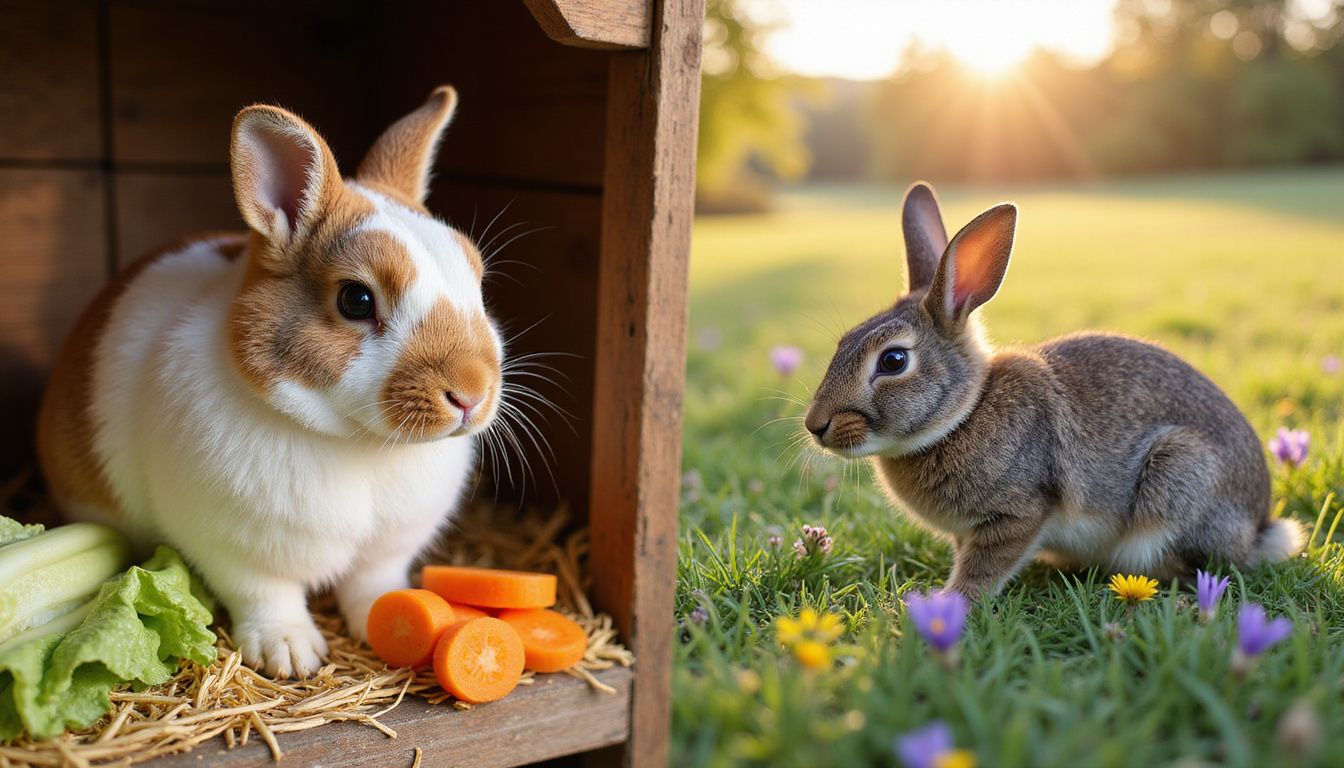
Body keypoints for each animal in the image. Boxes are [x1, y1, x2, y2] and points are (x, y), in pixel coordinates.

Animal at [36, 86, 504, 677]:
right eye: (356, 299)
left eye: (476, 280)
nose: (471, 394)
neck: (357, 442)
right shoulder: (233, 549)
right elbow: (266, 595)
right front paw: (290, 653)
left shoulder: (386, 551)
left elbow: (372, 586)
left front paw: (392, 616)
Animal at [804, 182, 1304, 599]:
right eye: (843, 344)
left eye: (893, 361)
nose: (816, 426)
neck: (964, 415)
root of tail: (1259, 527)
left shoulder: (1019, 512)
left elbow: (983, 569)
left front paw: (949, 603)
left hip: (1177, 480)